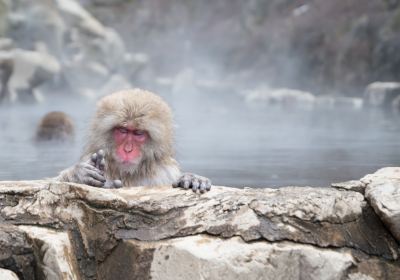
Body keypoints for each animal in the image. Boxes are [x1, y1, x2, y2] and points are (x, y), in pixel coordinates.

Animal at [57, 89, 212, 192]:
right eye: (123, 130)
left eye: (138, 133)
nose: (128, 149)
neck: (130, 175)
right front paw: (78, 175)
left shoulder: (165, 171)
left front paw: (191, 179)